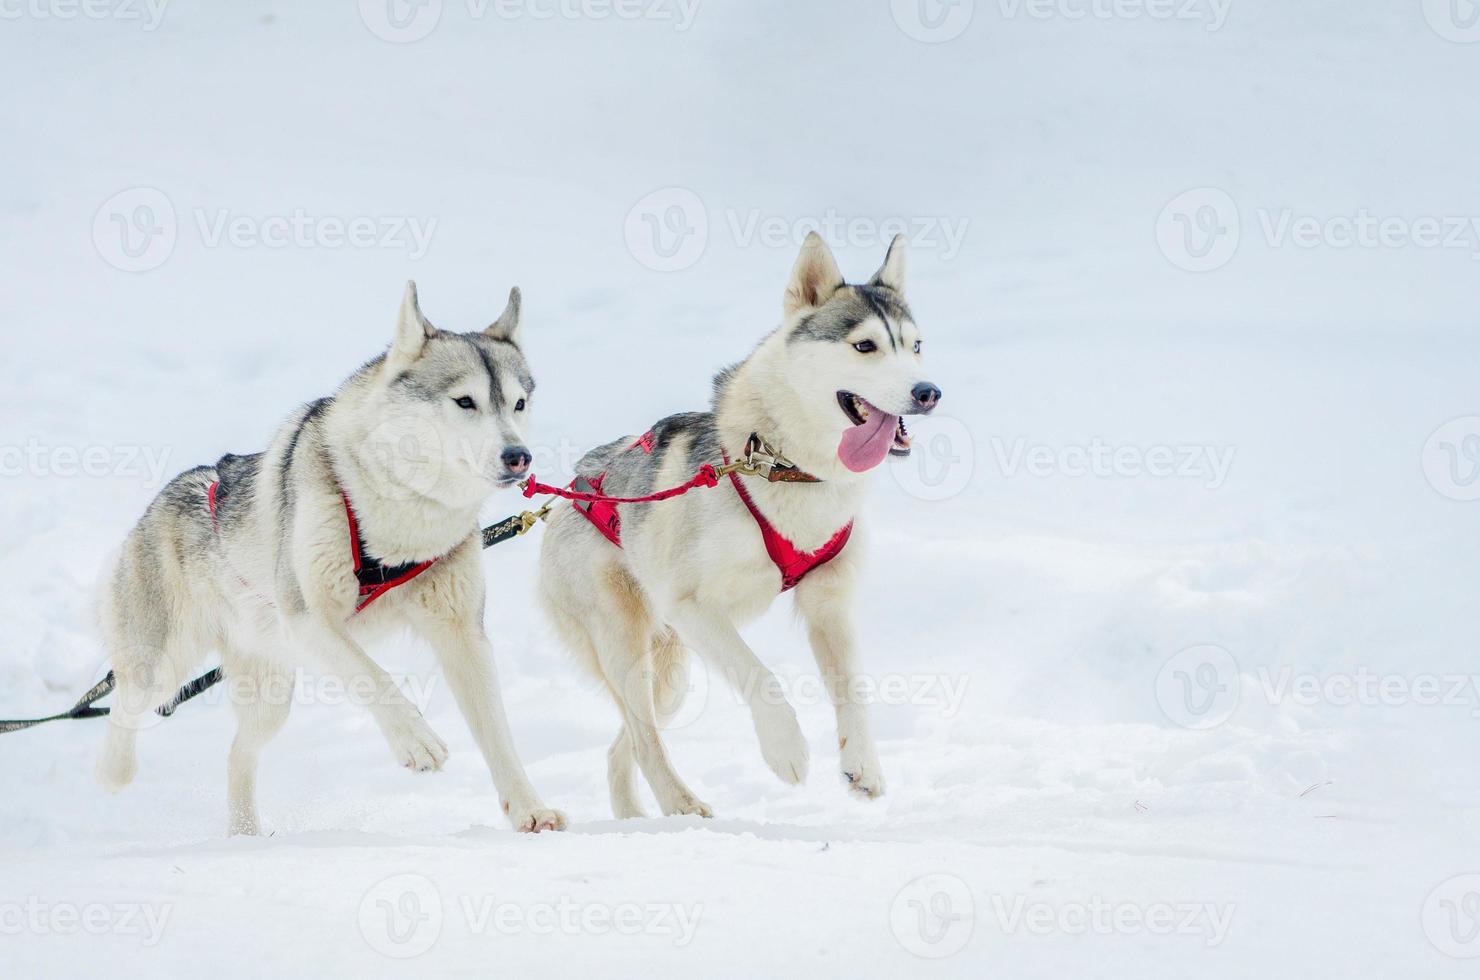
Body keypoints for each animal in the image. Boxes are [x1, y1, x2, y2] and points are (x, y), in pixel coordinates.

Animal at [93, 282, 565, 834]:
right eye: (465, 401)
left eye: (518, 403)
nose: (519, 457)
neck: (400, 520)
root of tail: (162, 500)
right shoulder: (309, 618)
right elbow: (372, 675)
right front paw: (415, 739)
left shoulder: (463, 635)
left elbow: (498, 734)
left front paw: (529, 808)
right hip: (163, 663)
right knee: (125, 705)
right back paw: (113, 774)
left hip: (271, 694)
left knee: (238, 753)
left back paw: (245, 835)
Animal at [538, 233, 941, 817]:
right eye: (864, 346)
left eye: (915, 347)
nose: (928, 391)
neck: (786, 466)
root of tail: (572, 487)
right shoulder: (692, 608)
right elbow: (762, 678)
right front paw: (787, 750)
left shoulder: (830, 604)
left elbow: (854, 691)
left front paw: (863, 764)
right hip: (627, 644)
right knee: (645, 738)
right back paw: (682, 806)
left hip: (670, 674)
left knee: (625, 743)